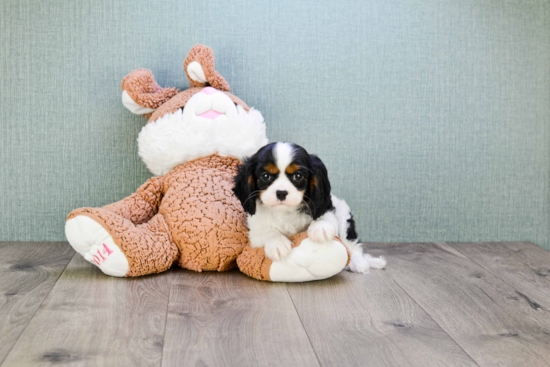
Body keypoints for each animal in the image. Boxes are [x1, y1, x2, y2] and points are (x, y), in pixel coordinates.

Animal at [233, 142, 388, 274]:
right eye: (265, 176)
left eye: (298, 176)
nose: (281, 192)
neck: (285, 211)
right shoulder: (255, 231)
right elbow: (267, 232)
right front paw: (277, 243)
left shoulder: (328, 208)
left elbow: (324, 217)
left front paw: (320, 228)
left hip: (344, 215)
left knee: (351, 244)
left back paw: (358, 262)